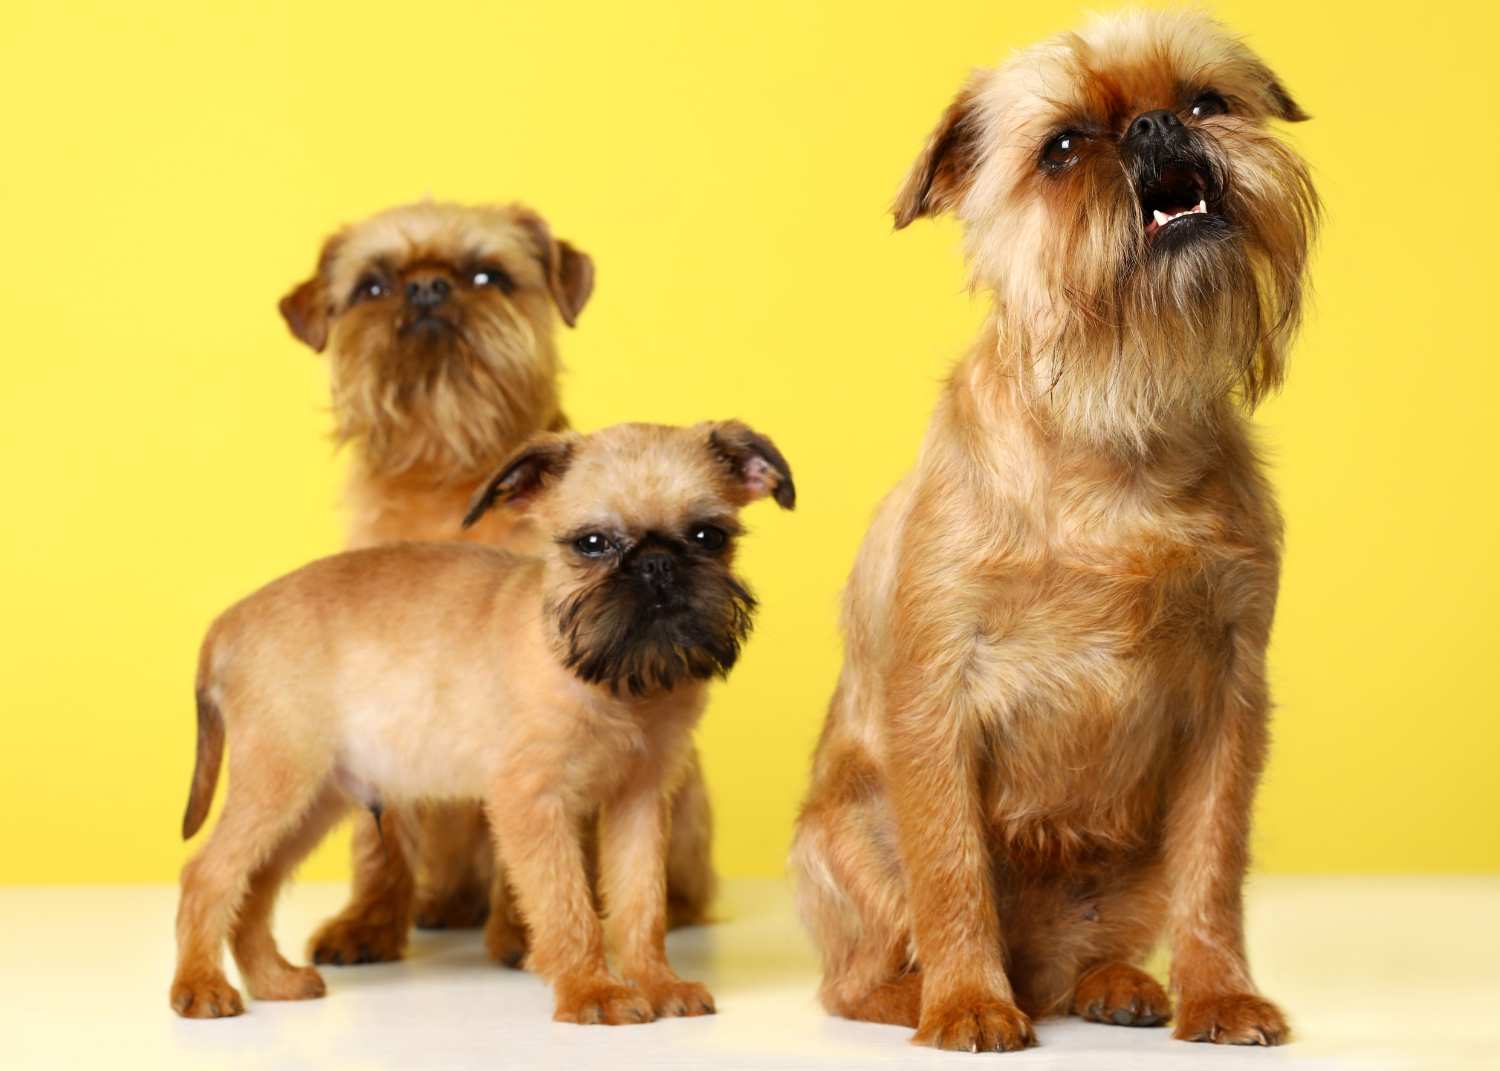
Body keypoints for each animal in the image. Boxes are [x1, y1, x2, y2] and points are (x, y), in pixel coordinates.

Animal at [168, 417, 798, 1020]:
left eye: (708, 537)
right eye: (592, 544)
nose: (657, 564)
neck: (616, 683)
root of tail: (229, 623)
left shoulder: (639, 803)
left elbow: (641, 905)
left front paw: (657, 983)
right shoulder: (532, 803)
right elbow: (568, 904)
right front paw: (593, 992)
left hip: (313, 801)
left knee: (253, 886)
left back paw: (273, 981)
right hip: (279, 781)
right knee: (207, 874)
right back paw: (200, 987)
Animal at [282, 198, 726, 960]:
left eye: (487, 274)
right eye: (374, 286)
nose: (427, 289)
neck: (445, 472)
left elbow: (546, 848)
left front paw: (525, 931)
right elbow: (379, 837)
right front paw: (369, 919)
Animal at [792, 8, 1320, 1050]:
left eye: (1207, 100)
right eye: (1064, 149)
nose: (1156, 125)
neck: (1115, 424)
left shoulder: (1229, 700)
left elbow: (1214, 864)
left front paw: (1221, 994)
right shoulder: (936, 695)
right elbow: (951, 867)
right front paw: (966, 1003)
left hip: (1127, 873)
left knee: (1099, 946)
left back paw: (1116, 984)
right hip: (846, 837)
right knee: (854, 975)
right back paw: (925, 994)